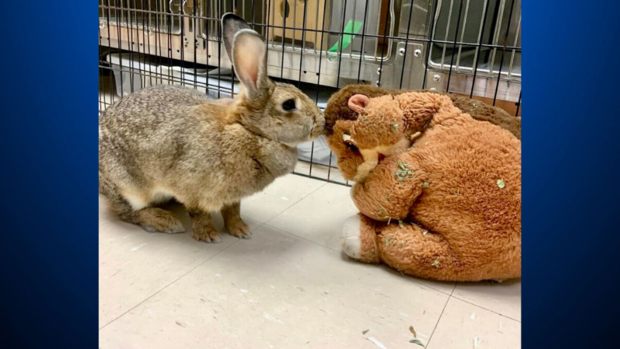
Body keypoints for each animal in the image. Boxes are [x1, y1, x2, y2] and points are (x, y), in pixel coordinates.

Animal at [98, 13, 324, 242]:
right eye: (288, 104)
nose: (321, 123)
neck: (249, 131)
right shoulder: (193, 189)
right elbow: (199, 213)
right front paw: (208, 235)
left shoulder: (233, 195)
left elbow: (233, 210)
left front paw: (241, 230)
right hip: (127, 187)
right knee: (127, 212)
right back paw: (164, 221)